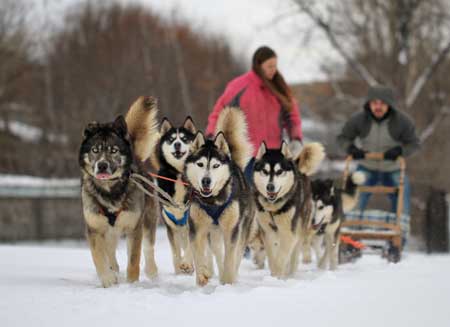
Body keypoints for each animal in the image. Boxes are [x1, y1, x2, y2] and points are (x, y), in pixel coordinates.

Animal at [78, 96, 159, 288]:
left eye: (114, 150)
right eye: (95, 150)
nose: (102, 165)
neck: (110, 191)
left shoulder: (134, 227)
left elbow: (134, 259)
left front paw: (132, 283)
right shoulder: (94, 228)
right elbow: (99, 257)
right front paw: (108, 279)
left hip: (148, 218)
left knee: (148, 246)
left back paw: (151, 271)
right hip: (110, 232)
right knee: (110, 251)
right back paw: (113, 270)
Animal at [153, 116, 197, 276]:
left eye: (184, 139)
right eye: (171, 140)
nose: (177, 144)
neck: (178, 175)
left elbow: (190, 248)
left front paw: (186, 263)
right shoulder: (171, 224)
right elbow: (175, 251)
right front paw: (179, 268)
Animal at [183, 107, 253, 288]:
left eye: (215, 165)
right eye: (200, 164)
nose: (206, 181)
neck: (212, 201)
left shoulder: (232, 230)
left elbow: (231, 257)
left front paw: (228, 281)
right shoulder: (197, 228)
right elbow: (198, 254)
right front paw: (202, 276)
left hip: (242, 229)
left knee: (235, 254)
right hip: (212, 232)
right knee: (216, 251)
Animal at [253, 142, 324, 278]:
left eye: (279, 171)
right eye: (265, 171)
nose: (270, 187)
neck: (274, 207)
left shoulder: (289, 232)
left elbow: (281, 258)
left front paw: (279, 276)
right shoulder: (267, 232)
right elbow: (272, 257)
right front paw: (274, 275)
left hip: (299, 230)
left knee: (293, 256)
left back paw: (290, 274)